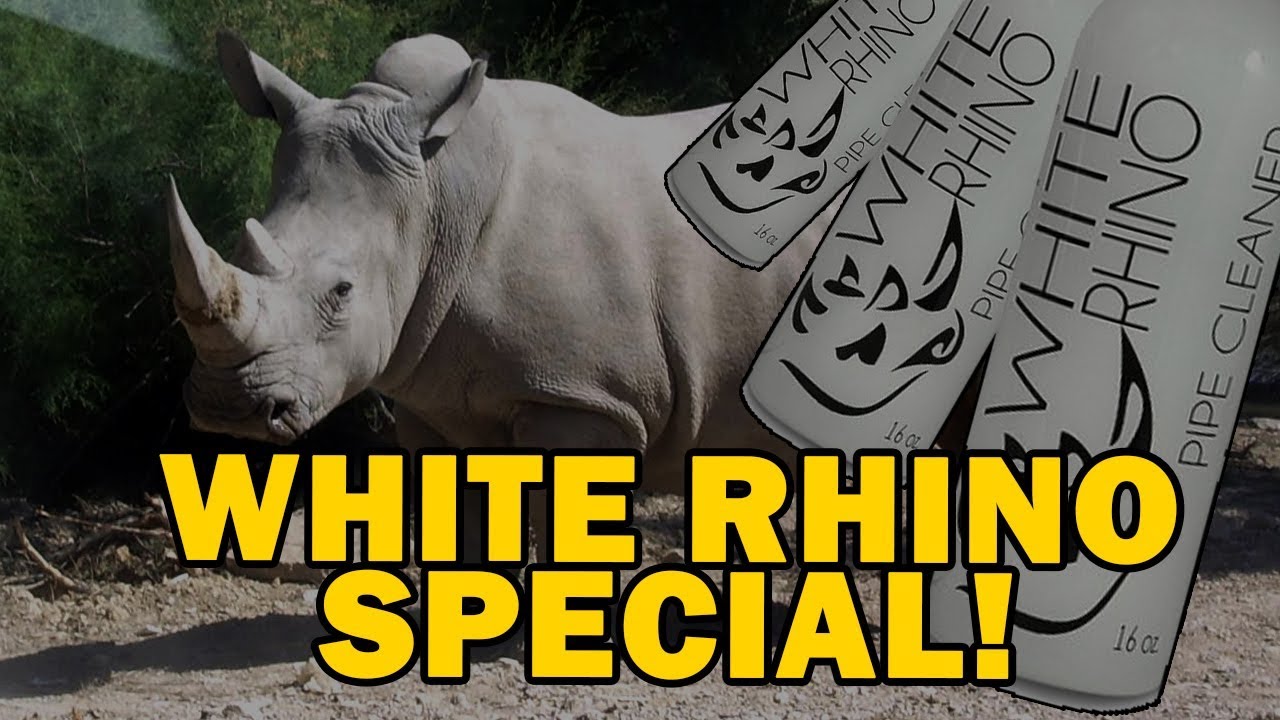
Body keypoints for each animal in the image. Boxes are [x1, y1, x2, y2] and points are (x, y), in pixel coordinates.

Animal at [169, 31, 972, 562]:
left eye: (341, 292)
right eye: (239, 244)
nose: (226, 407)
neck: (437, 202)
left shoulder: (585, 393)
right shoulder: (431, 393)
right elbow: (462, 518)